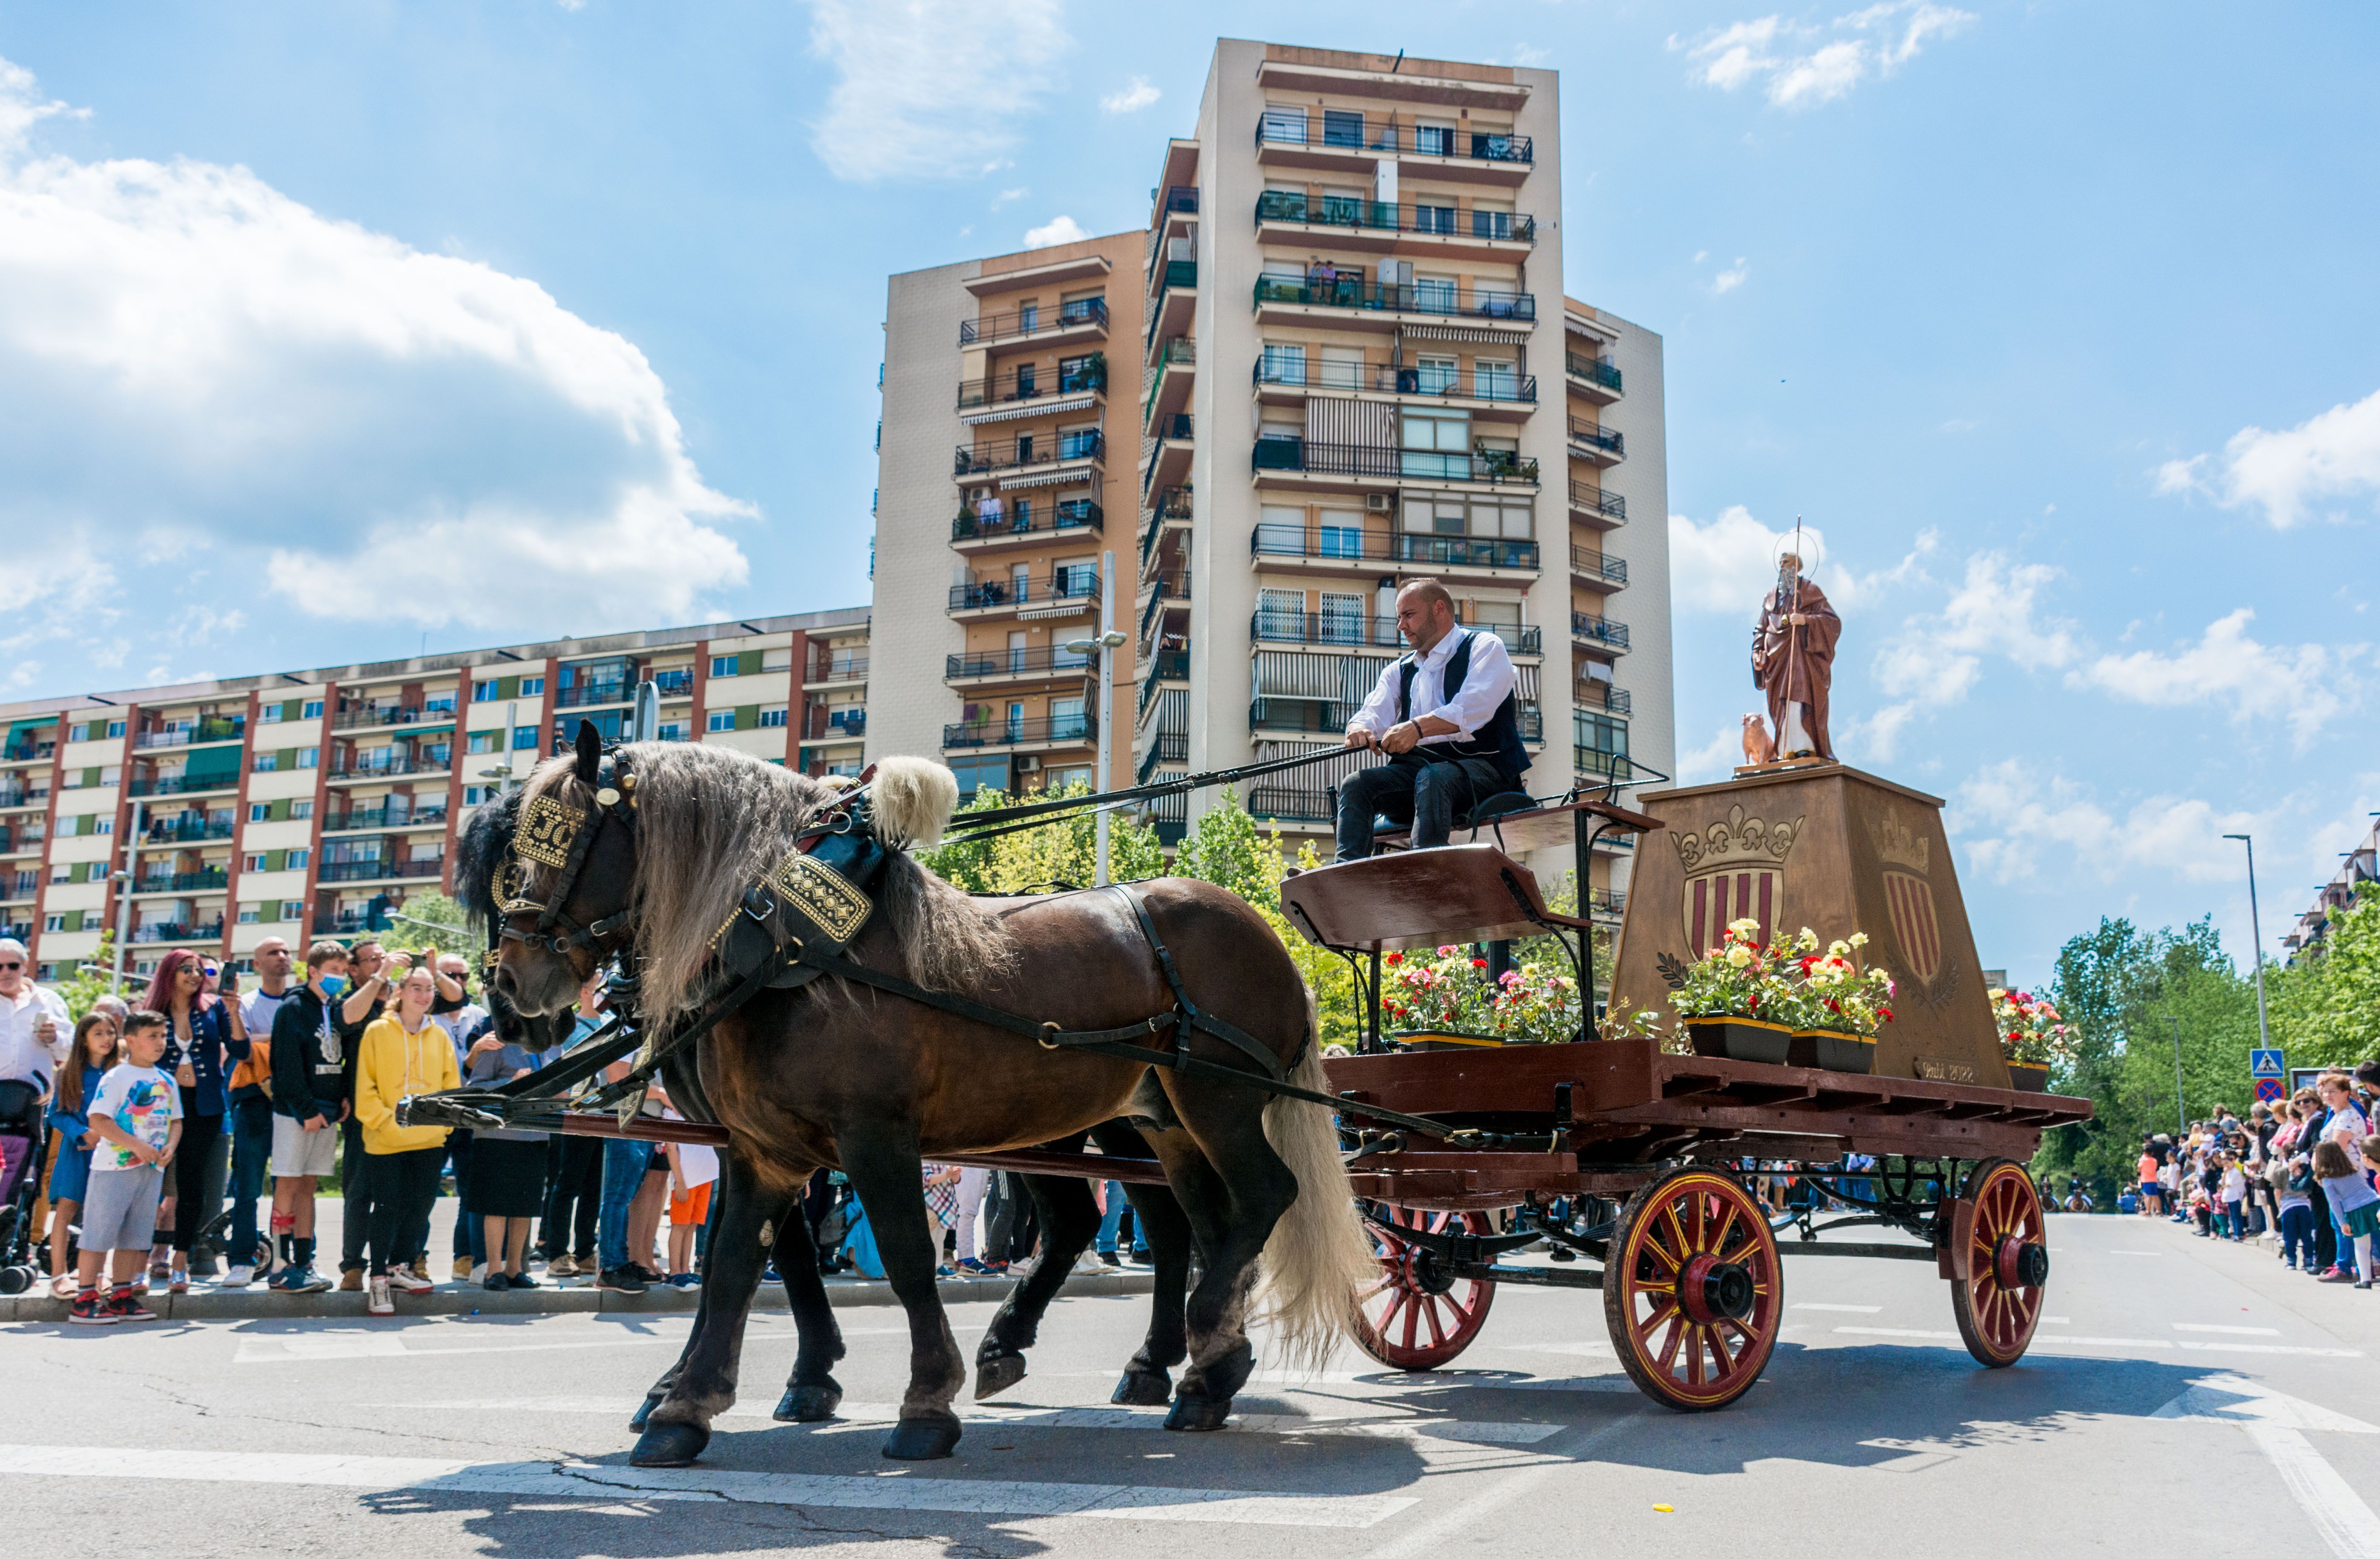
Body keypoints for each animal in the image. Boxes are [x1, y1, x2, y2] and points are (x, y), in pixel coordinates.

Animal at [488, 733, 1380, 1466]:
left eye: (563, 838)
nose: (511, 986)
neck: (785, 941)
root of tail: (1264, 932)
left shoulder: (873, 1135)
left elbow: (907, 1256)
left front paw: (922, 1403)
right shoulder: (762, 1146)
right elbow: (736, 1263)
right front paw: (684, 1405)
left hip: (1214, 1098)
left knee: (1258, 1197)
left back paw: (1187, 1348)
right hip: (1162, 1122)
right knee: (1191, 1223)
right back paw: (1200, 1364)